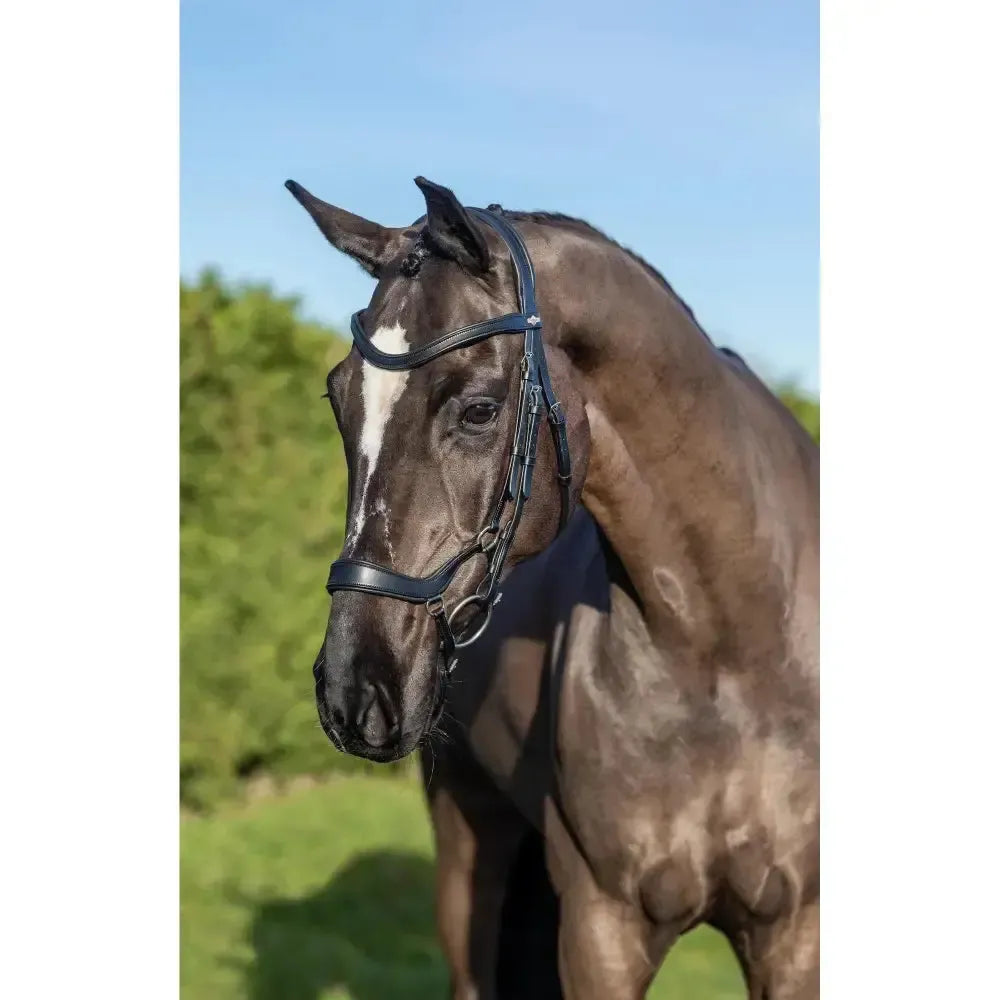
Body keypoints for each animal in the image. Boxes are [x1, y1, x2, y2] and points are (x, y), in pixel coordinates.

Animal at [287, 176, 819, 999]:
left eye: (478, 409)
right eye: (338, 400)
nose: (355, 690)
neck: (729, 651)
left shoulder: (795, 936)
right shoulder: (602, 927)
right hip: (469, 836)